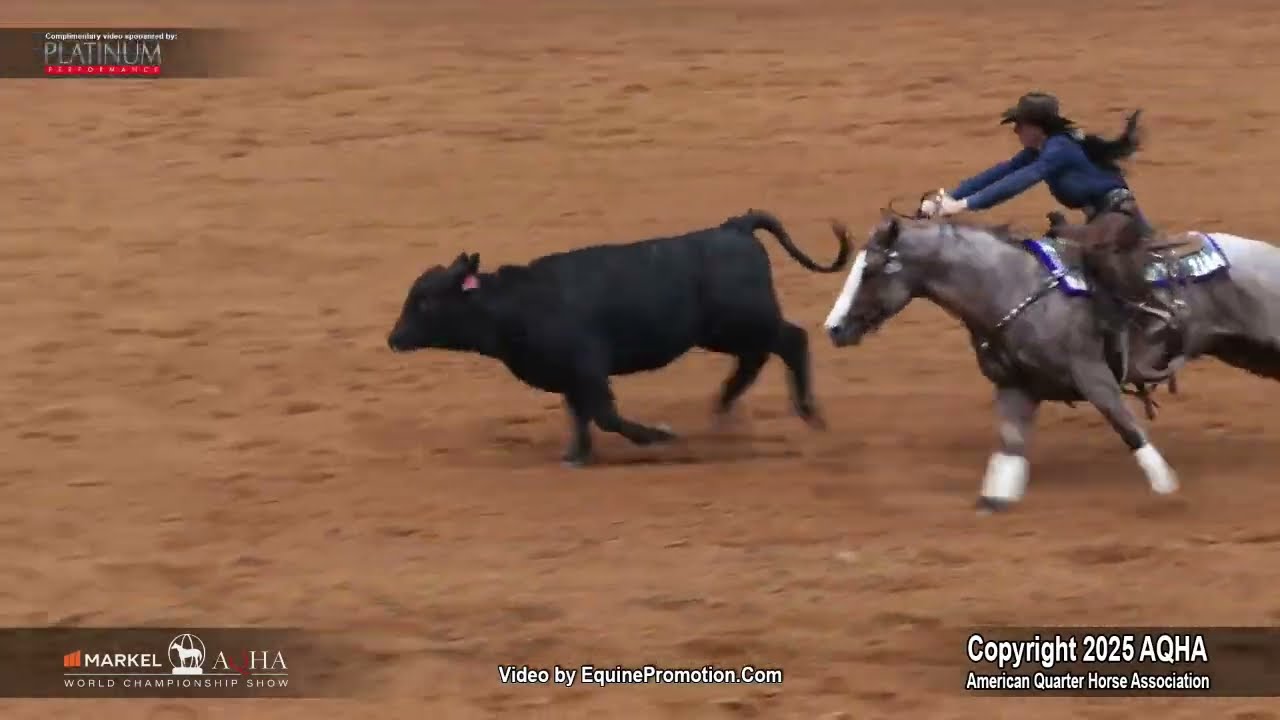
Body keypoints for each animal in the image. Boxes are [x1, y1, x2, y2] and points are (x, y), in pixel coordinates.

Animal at [386, 210, 852, 466]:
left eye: (424, 302)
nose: (393, 339)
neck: (518, 304)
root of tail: (734, 227)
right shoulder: (570, 378)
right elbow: (580, 417)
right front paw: (577, 455)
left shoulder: (588, 369)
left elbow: (605, 416)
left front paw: (661, 436)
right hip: (726, 332)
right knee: (756, 359)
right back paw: (722, 411)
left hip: (746, 322)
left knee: (792, 341)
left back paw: (809, 413)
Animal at [822, 213, 1280, 512]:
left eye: (872, 270)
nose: (834, 328)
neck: (1011, 287)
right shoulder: (1015, 386)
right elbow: (1010, 445)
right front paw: (995, 498)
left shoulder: (1094, 376)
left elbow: (1128, 428)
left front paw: (1167, 487)